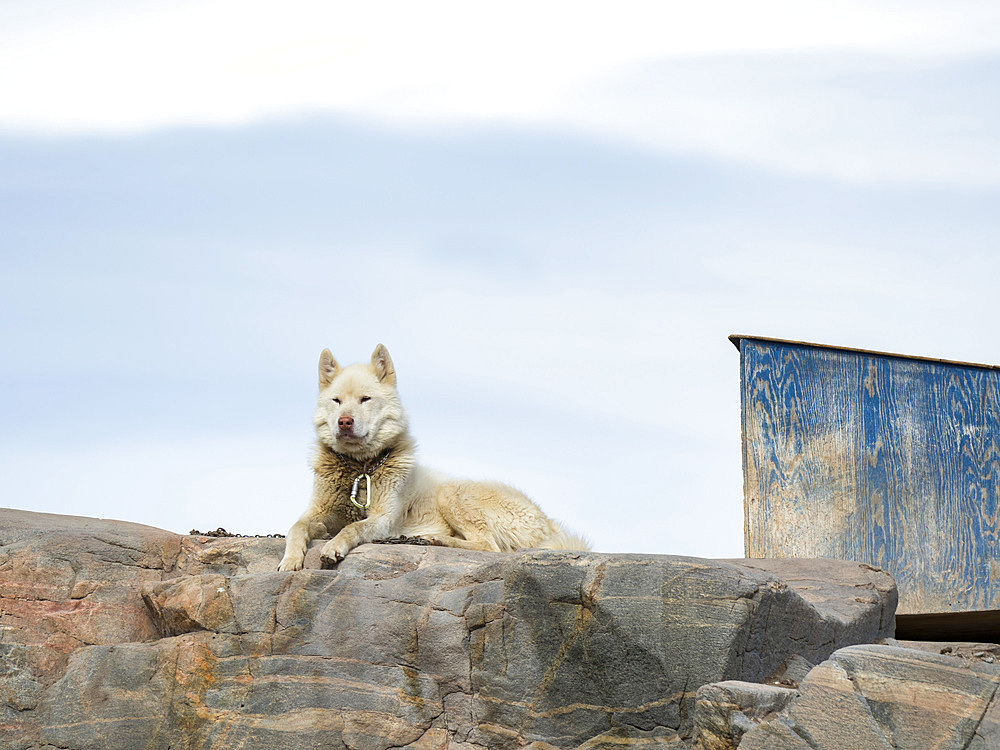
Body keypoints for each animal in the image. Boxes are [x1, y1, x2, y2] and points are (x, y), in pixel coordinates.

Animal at [276, 344, 584, 572]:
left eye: (365, 399)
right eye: (337, 401)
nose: (344, 422)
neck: (360, 468)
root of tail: (549, 524)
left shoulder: (383, 518)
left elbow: (353, 527)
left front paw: (333, 546)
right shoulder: (318, 512)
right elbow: (295, 527)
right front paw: (289, 560)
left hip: (452, 491)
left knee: (488, 546)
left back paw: (430, 538)